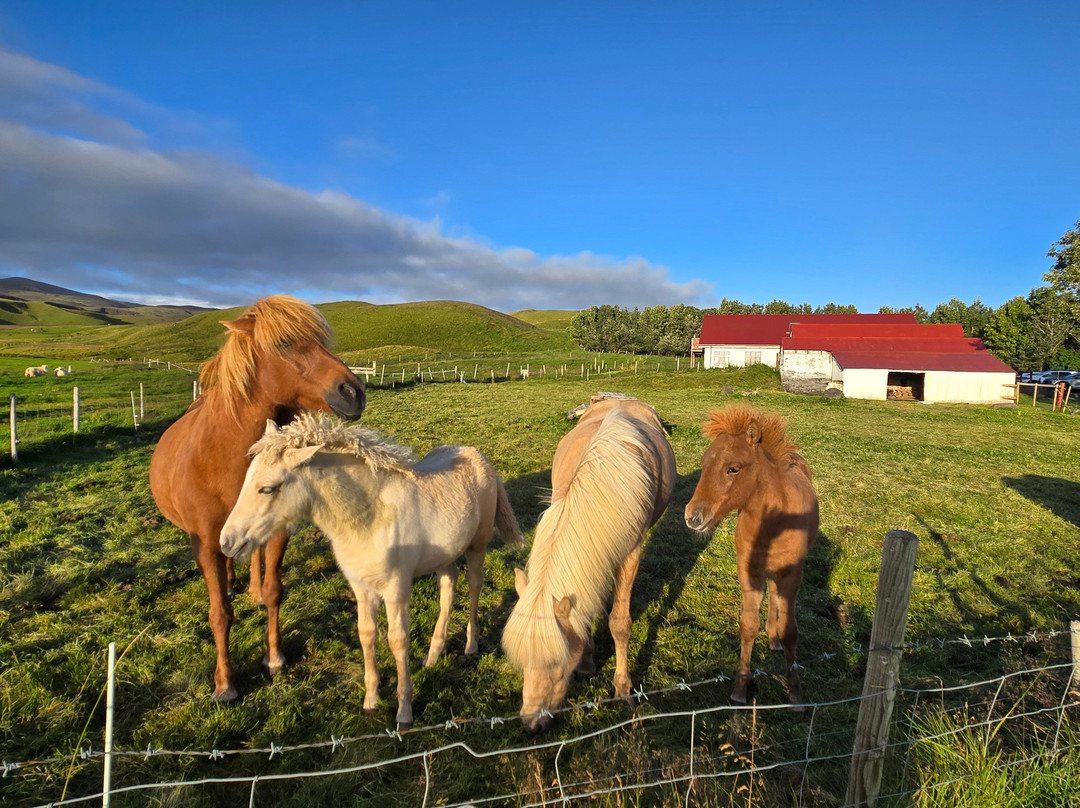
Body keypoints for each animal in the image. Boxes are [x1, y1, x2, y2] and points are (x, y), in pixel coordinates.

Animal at [149, 295, 366, 703]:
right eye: (284, 343)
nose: (354, 392)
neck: (220, 456)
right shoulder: (205, 541)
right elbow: (220, 612)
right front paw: (224, 684)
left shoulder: (279, 531)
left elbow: (274, 589)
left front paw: (274, 657)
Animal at [219, 413, 522, 728]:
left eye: (267, 488)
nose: (227, 542)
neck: (368, 517)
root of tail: (478, 456)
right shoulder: (361, 587)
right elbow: (366, 634)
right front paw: (371, 701)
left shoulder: (396, 588)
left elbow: (397, 640)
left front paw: (404, 712)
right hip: (445, 555)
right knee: (448, 586)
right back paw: (433, 655)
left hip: (478, 545)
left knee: (474, 585)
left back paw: (471, 646)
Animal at [502, 399, 675, 732]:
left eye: (556, 662)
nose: (531, 724)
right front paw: (586, 662)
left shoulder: (630, 554)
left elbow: (620, 623)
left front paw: (623, 691)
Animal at [684, 405, 819, 709]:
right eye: (704, 463)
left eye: (733, 468)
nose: (693, 516)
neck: (774, 523)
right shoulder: (749, 572)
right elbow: (748, 626)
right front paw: (740, 689)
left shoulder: (792, 575)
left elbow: (791, 630)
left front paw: (795, 695)